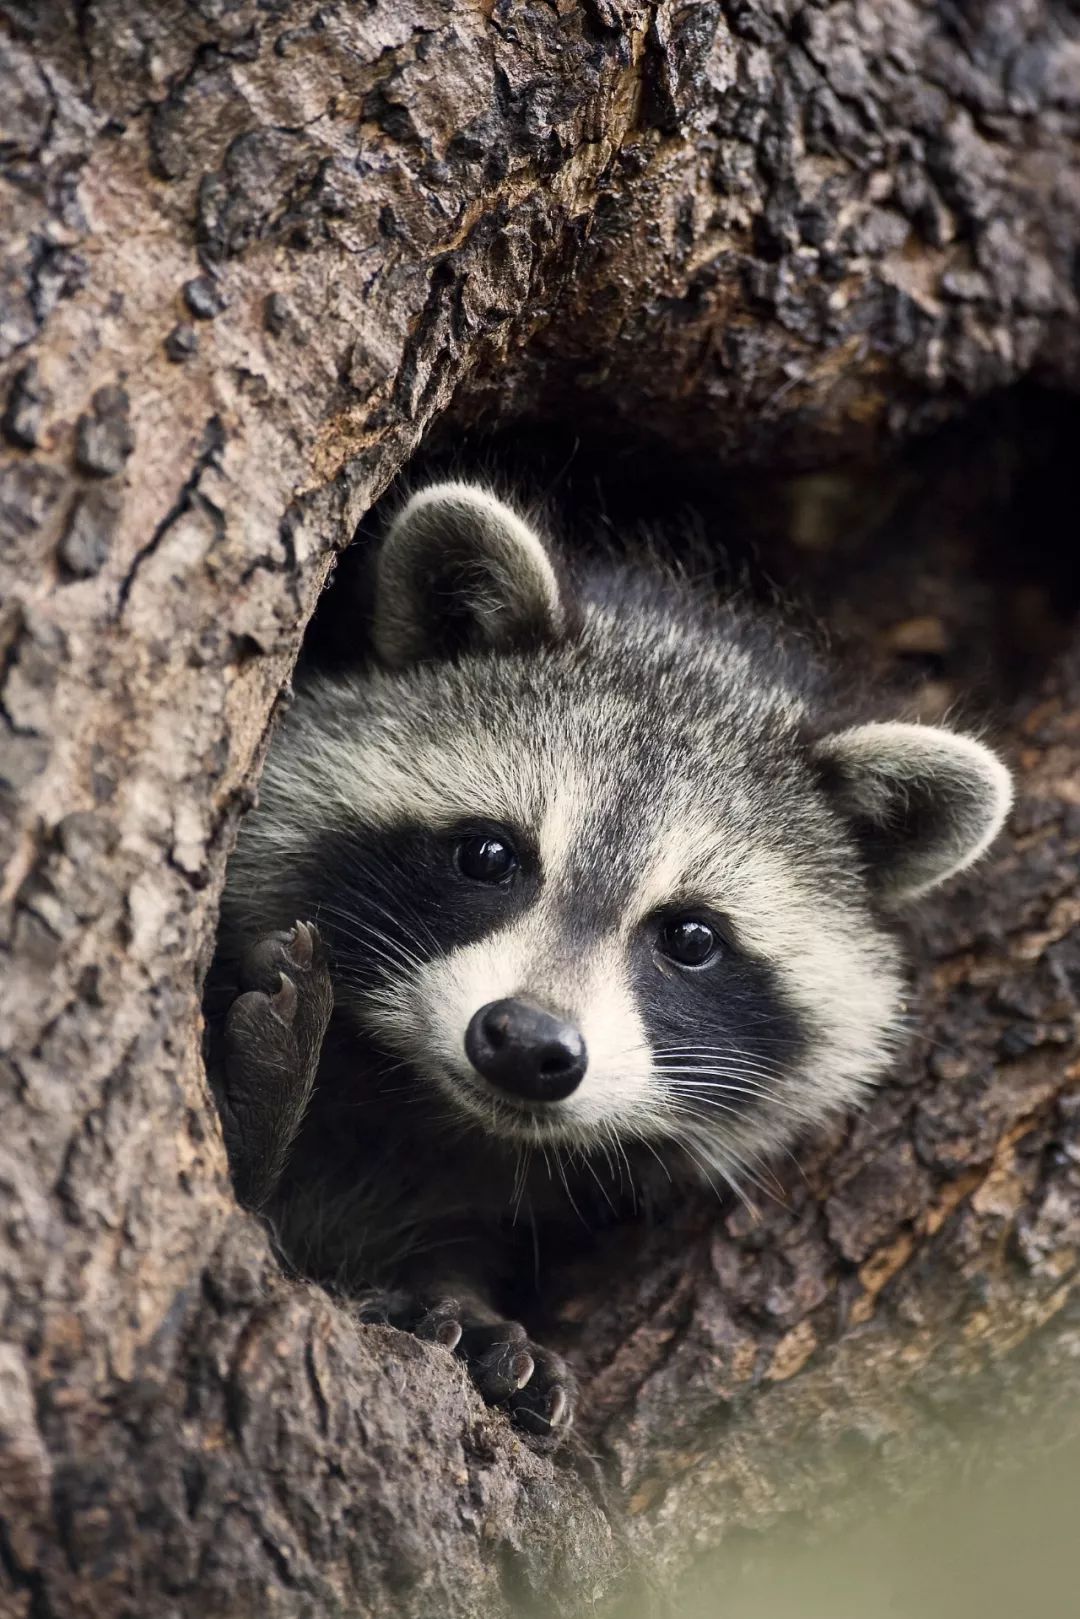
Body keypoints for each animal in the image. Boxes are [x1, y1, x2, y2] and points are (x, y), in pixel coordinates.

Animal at [210, 475, 1016, 1431]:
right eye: (490, 854)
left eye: (692, 937)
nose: (527, 1044)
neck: (436, 1118)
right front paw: (262, 1103)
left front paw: (462, 1305)